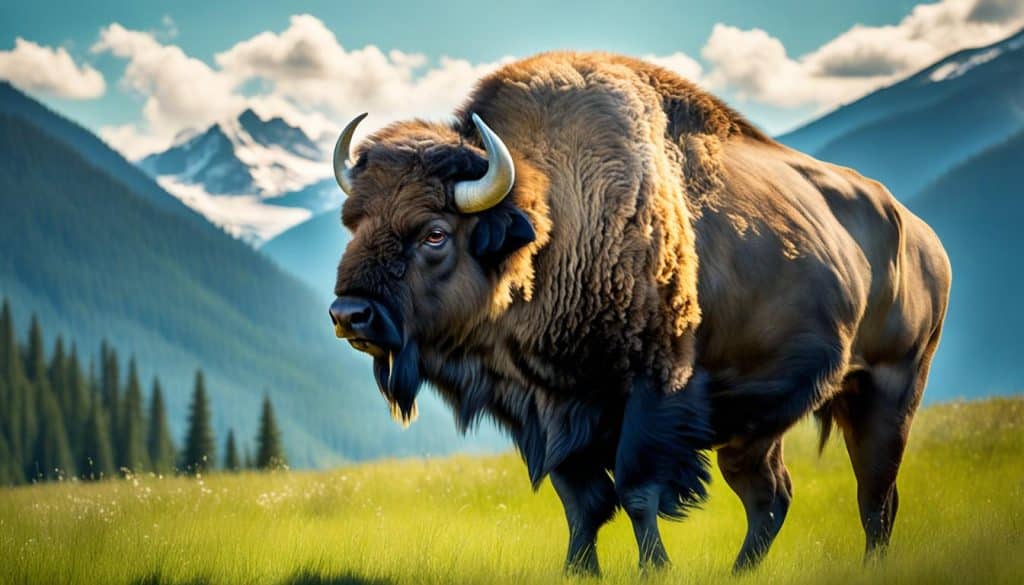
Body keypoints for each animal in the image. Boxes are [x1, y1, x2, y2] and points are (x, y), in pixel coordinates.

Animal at [327, 52, 951, 575]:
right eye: (354, 223)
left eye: (434, 233)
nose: (349, 314)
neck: (556, 227)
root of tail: (920, 235)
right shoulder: (551, 412)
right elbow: (583, 503)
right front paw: (579, 571)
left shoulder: (654, 393)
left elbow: (635, 492)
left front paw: (655, 569)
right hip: (759, 427)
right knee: (773, 496)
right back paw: (741, 571)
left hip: (890, 390)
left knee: (874, 495)